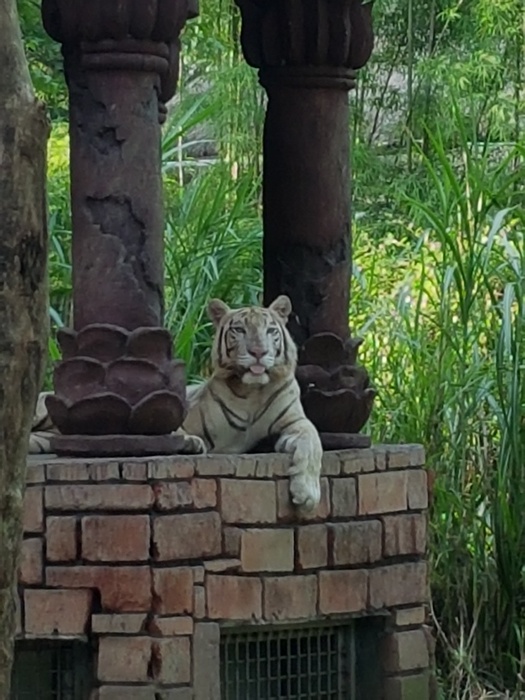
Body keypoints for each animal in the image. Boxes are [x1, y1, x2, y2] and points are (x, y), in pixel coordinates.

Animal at [29, 295, 322, 510]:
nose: (258, 352)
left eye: (270, 330)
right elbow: (173, 425)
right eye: (239, 330)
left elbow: (313, 445)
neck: (253, 391)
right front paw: (188, 441)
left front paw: (307, 493)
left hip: (45, 438)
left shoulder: (296, 422)